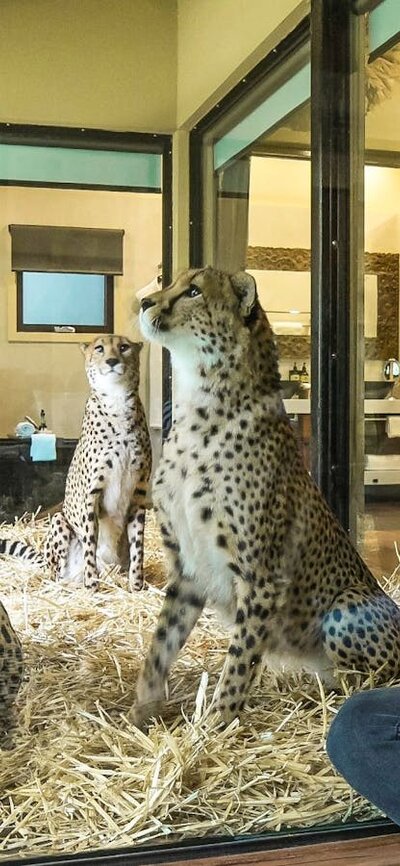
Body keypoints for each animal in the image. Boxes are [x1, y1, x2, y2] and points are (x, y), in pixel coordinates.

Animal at [0, 334, 152, 592]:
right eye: (99, 348)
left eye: (124, 347)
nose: (112, 361)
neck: (117, 401)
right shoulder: (91, 494)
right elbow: (90, 540)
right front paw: (91, 585)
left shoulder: (139, 493)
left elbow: (138, 546)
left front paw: (137, 586)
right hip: (59, 522)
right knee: (55, 571)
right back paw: (69, 582)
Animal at [131, 266, 400, 724]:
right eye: (175, 283)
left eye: (193, 291)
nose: (146, 302)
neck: (200, 406)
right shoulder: (187, 569)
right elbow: (161, 643)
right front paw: (142, 708)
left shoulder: (261, 577)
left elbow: (240, 658)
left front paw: (215, 723)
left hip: (344, 608)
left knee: (370, 680)